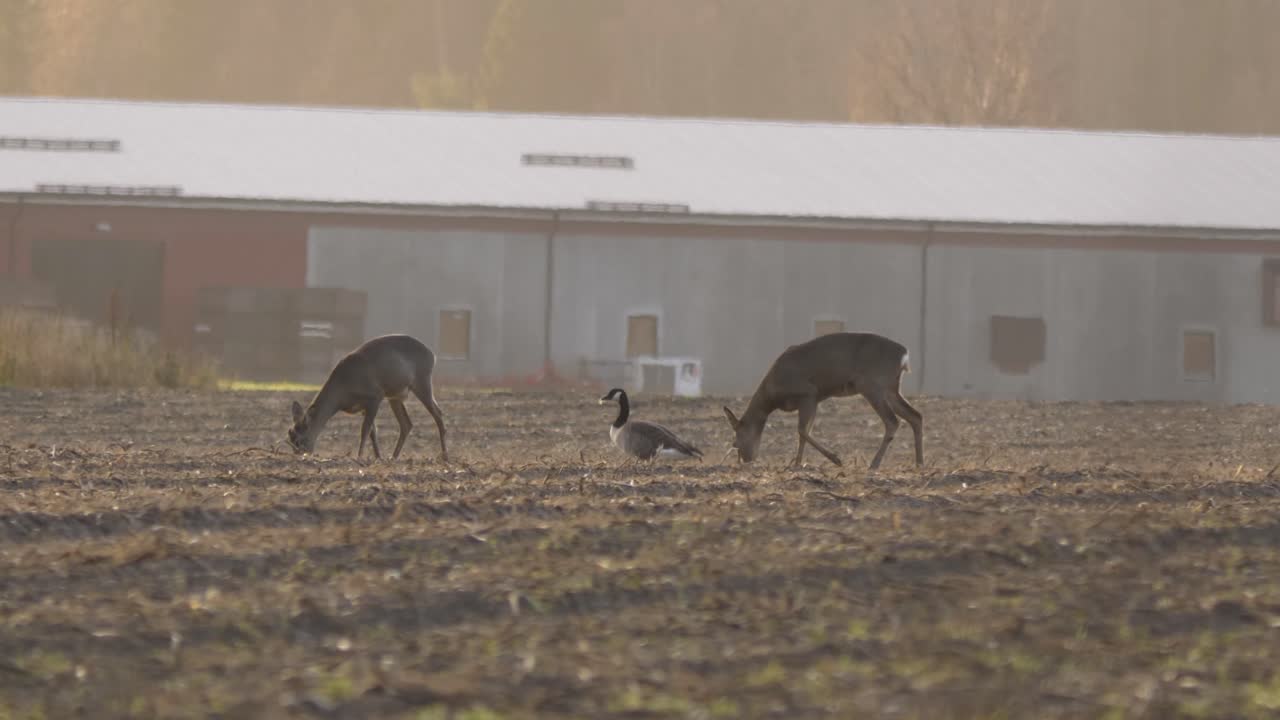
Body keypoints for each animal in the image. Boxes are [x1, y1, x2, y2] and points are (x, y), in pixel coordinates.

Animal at [287, 334, 448, 462]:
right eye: (290, 436)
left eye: (300, 440)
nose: (300, 455)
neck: (342, 392)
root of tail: (432, 355)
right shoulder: (363, 406)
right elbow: (372, 432)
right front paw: (378, 457)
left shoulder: (375, 396)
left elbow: (364, 430)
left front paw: (359, 457)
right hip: (395, 395)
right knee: (406, 423)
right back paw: (393, 457)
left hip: (422, 381)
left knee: (438, 413)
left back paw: (445, 456)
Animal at [721, 332, 922, 470]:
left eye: (735, 442)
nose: (747, 460)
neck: (772, 396)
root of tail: (904, 355)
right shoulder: (815, 399)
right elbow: (804, 432)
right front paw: (797, 464)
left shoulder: (808, 393)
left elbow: (802, 430)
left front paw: (835, 459)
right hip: (891, 388)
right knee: (915, 416)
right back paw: (919, 463)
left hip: (873, 385)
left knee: (893, 420)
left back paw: (874, 464)